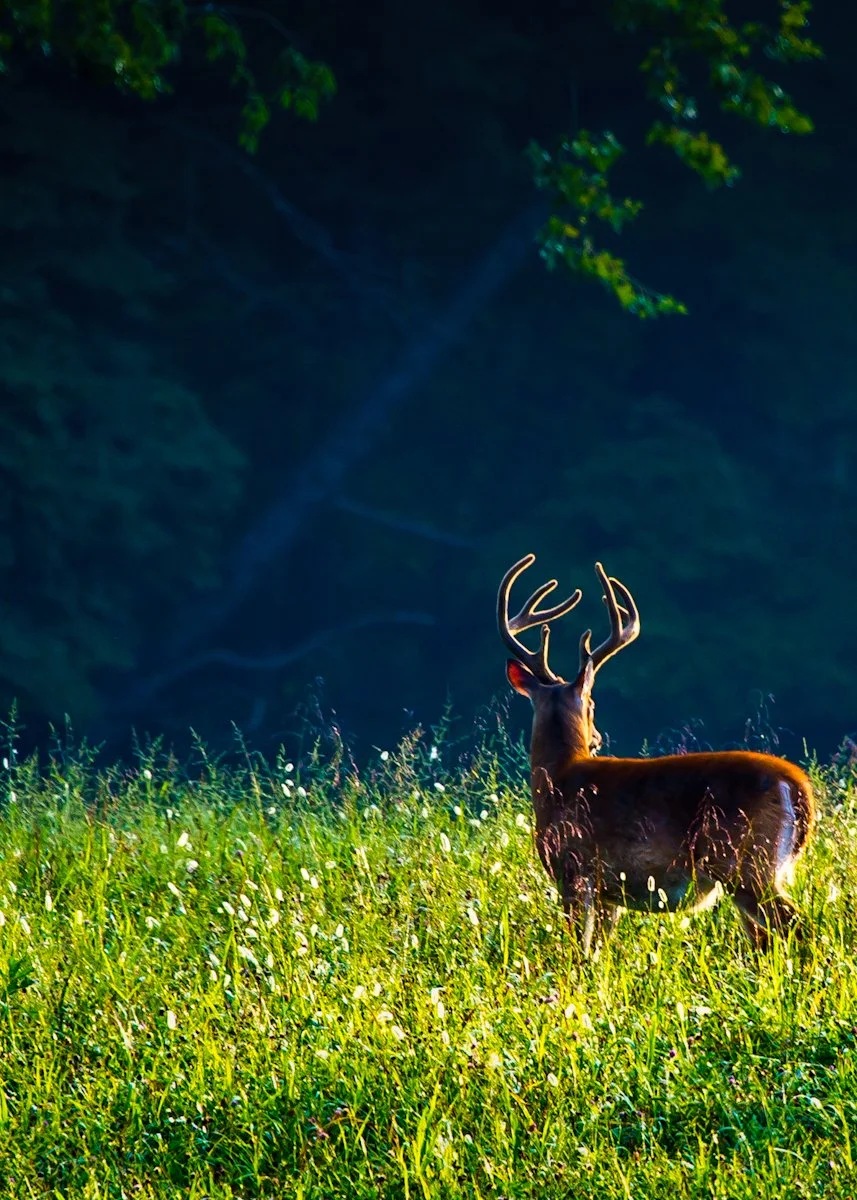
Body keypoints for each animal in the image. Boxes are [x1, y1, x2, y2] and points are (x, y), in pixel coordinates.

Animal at [498, 553, 815, 953]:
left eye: (592, 703)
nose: (597, 737)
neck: (558, 777)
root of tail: (799, 787)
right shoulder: (608, 894)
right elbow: (596, 954)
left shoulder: (573, 871)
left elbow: (577, 950)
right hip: (759, 871)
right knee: (767, 938)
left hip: (744, 864)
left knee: (799, 929)